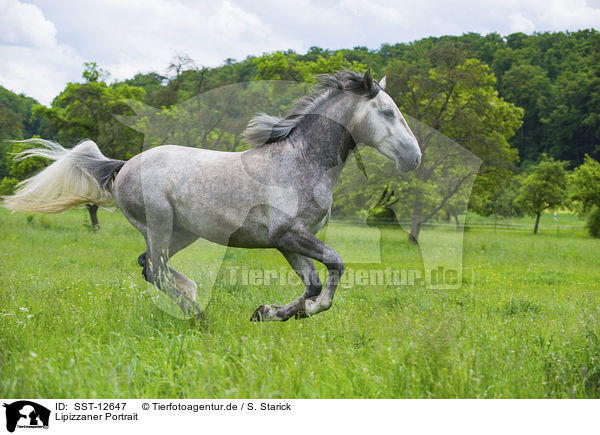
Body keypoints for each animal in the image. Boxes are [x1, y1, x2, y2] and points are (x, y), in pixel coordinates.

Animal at [2, 70, 420, 320]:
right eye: (387, 112)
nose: (414, 158)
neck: (298, 161)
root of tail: (123, 166)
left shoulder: (287, 241)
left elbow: (313, 283)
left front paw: (272, 312)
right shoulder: (287, 234)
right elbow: (334, 266)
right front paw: (290, 311)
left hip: (183, 233)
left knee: (148, 266)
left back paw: (193, 304)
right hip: (160, 225)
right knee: (154, 268)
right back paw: (198, 316)